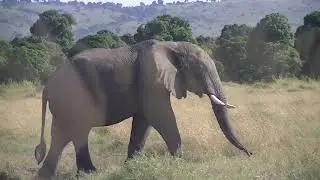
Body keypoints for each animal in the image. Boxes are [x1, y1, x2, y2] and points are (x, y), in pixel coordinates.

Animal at [33, 39, 251, 179]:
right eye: (200, 71)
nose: (250, 154)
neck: (174, 45)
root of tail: (47, 86)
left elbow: (144, 121)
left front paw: (132, 166)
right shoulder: (152, 79)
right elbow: (160, 116)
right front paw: (180, 163)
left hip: (66, 103)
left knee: (62, 135)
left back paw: (48, 176)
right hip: (75, 98)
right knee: (78, 133)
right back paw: (91, 173)